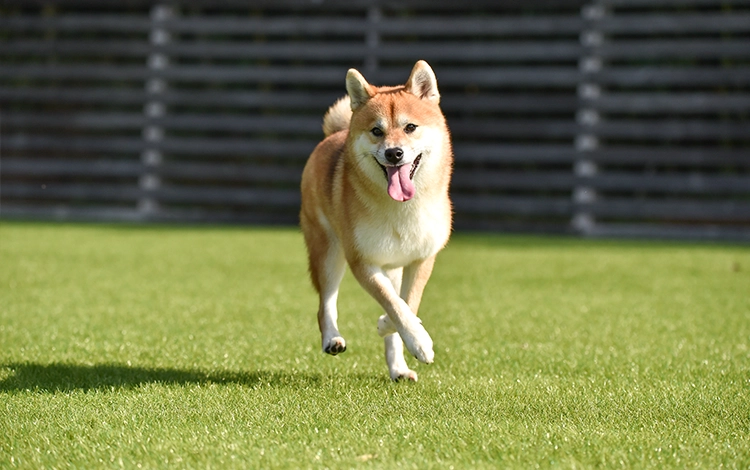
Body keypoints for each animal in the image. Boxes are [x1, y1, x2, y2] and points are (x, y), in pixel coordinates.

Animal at [300, 59, 452, 382]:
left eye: (410, 127)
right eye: (376, 131)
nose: (394, 153)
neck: (401, 209)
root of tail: (334, 134)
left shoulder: (421, 259)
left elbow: (405, 304)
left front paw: (390, 327)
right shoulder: (363, 261)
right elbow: (395, 304)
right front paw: (419, 341)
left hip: (390, 265)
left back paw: (398, 369)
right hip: (328, 251)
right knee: (325, 302)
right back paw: (332, 338)